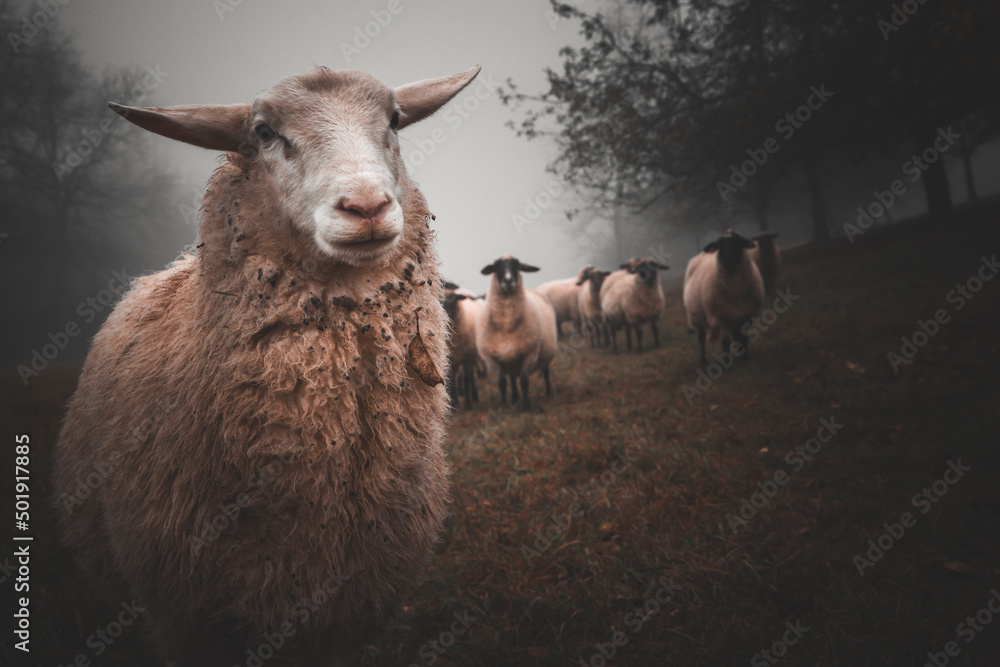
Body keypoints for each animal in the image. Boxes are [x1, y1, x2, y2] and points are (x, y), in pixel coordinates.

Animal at [476, 255, 557, 410]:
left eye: (516, 265)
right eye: (496, 266)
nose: (508, 281)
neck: (506, 324)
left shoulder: (529, 353)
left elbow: (524, 381)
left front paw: (526, 406)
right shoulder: (493, 358)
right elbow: (502, 383)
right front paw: (503, 406)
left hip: (545, 353)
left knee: (545, 372)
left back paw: (549, 393)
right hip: (510, 360)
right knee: (512, 379)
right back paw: (514, 398)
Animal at [683, 231, 764, 364]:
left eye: (738, 243)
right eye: (720, 245)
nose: (728, 261)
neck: (735, 289)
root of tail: (702, 253)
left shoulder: (745, 314)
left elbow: (743, 338)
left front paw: (745, 358)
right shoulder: (720, 317)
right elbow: (725, 342)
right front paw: (726, 361)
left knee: (736, 336)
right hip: (698, 317)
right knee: (701, 339)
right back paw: (703, 360)